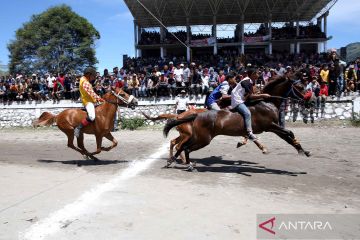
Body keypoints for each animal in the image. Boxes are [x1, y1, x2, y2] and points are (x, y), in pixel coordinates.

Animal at [163, 75, 310, 171]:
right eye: (300, 86)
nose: (310, 100)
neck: (267, 103)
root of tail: (193, 115)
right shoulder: (270, 126)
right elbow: (289, 132)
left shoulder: (274, 128)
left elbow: (287, 137)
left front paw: (303, 150)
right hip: (202, 138)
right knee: (185, 147)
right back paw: (187, 164)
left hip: (196, 136)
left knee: (181, 146)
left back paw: (173, 162)